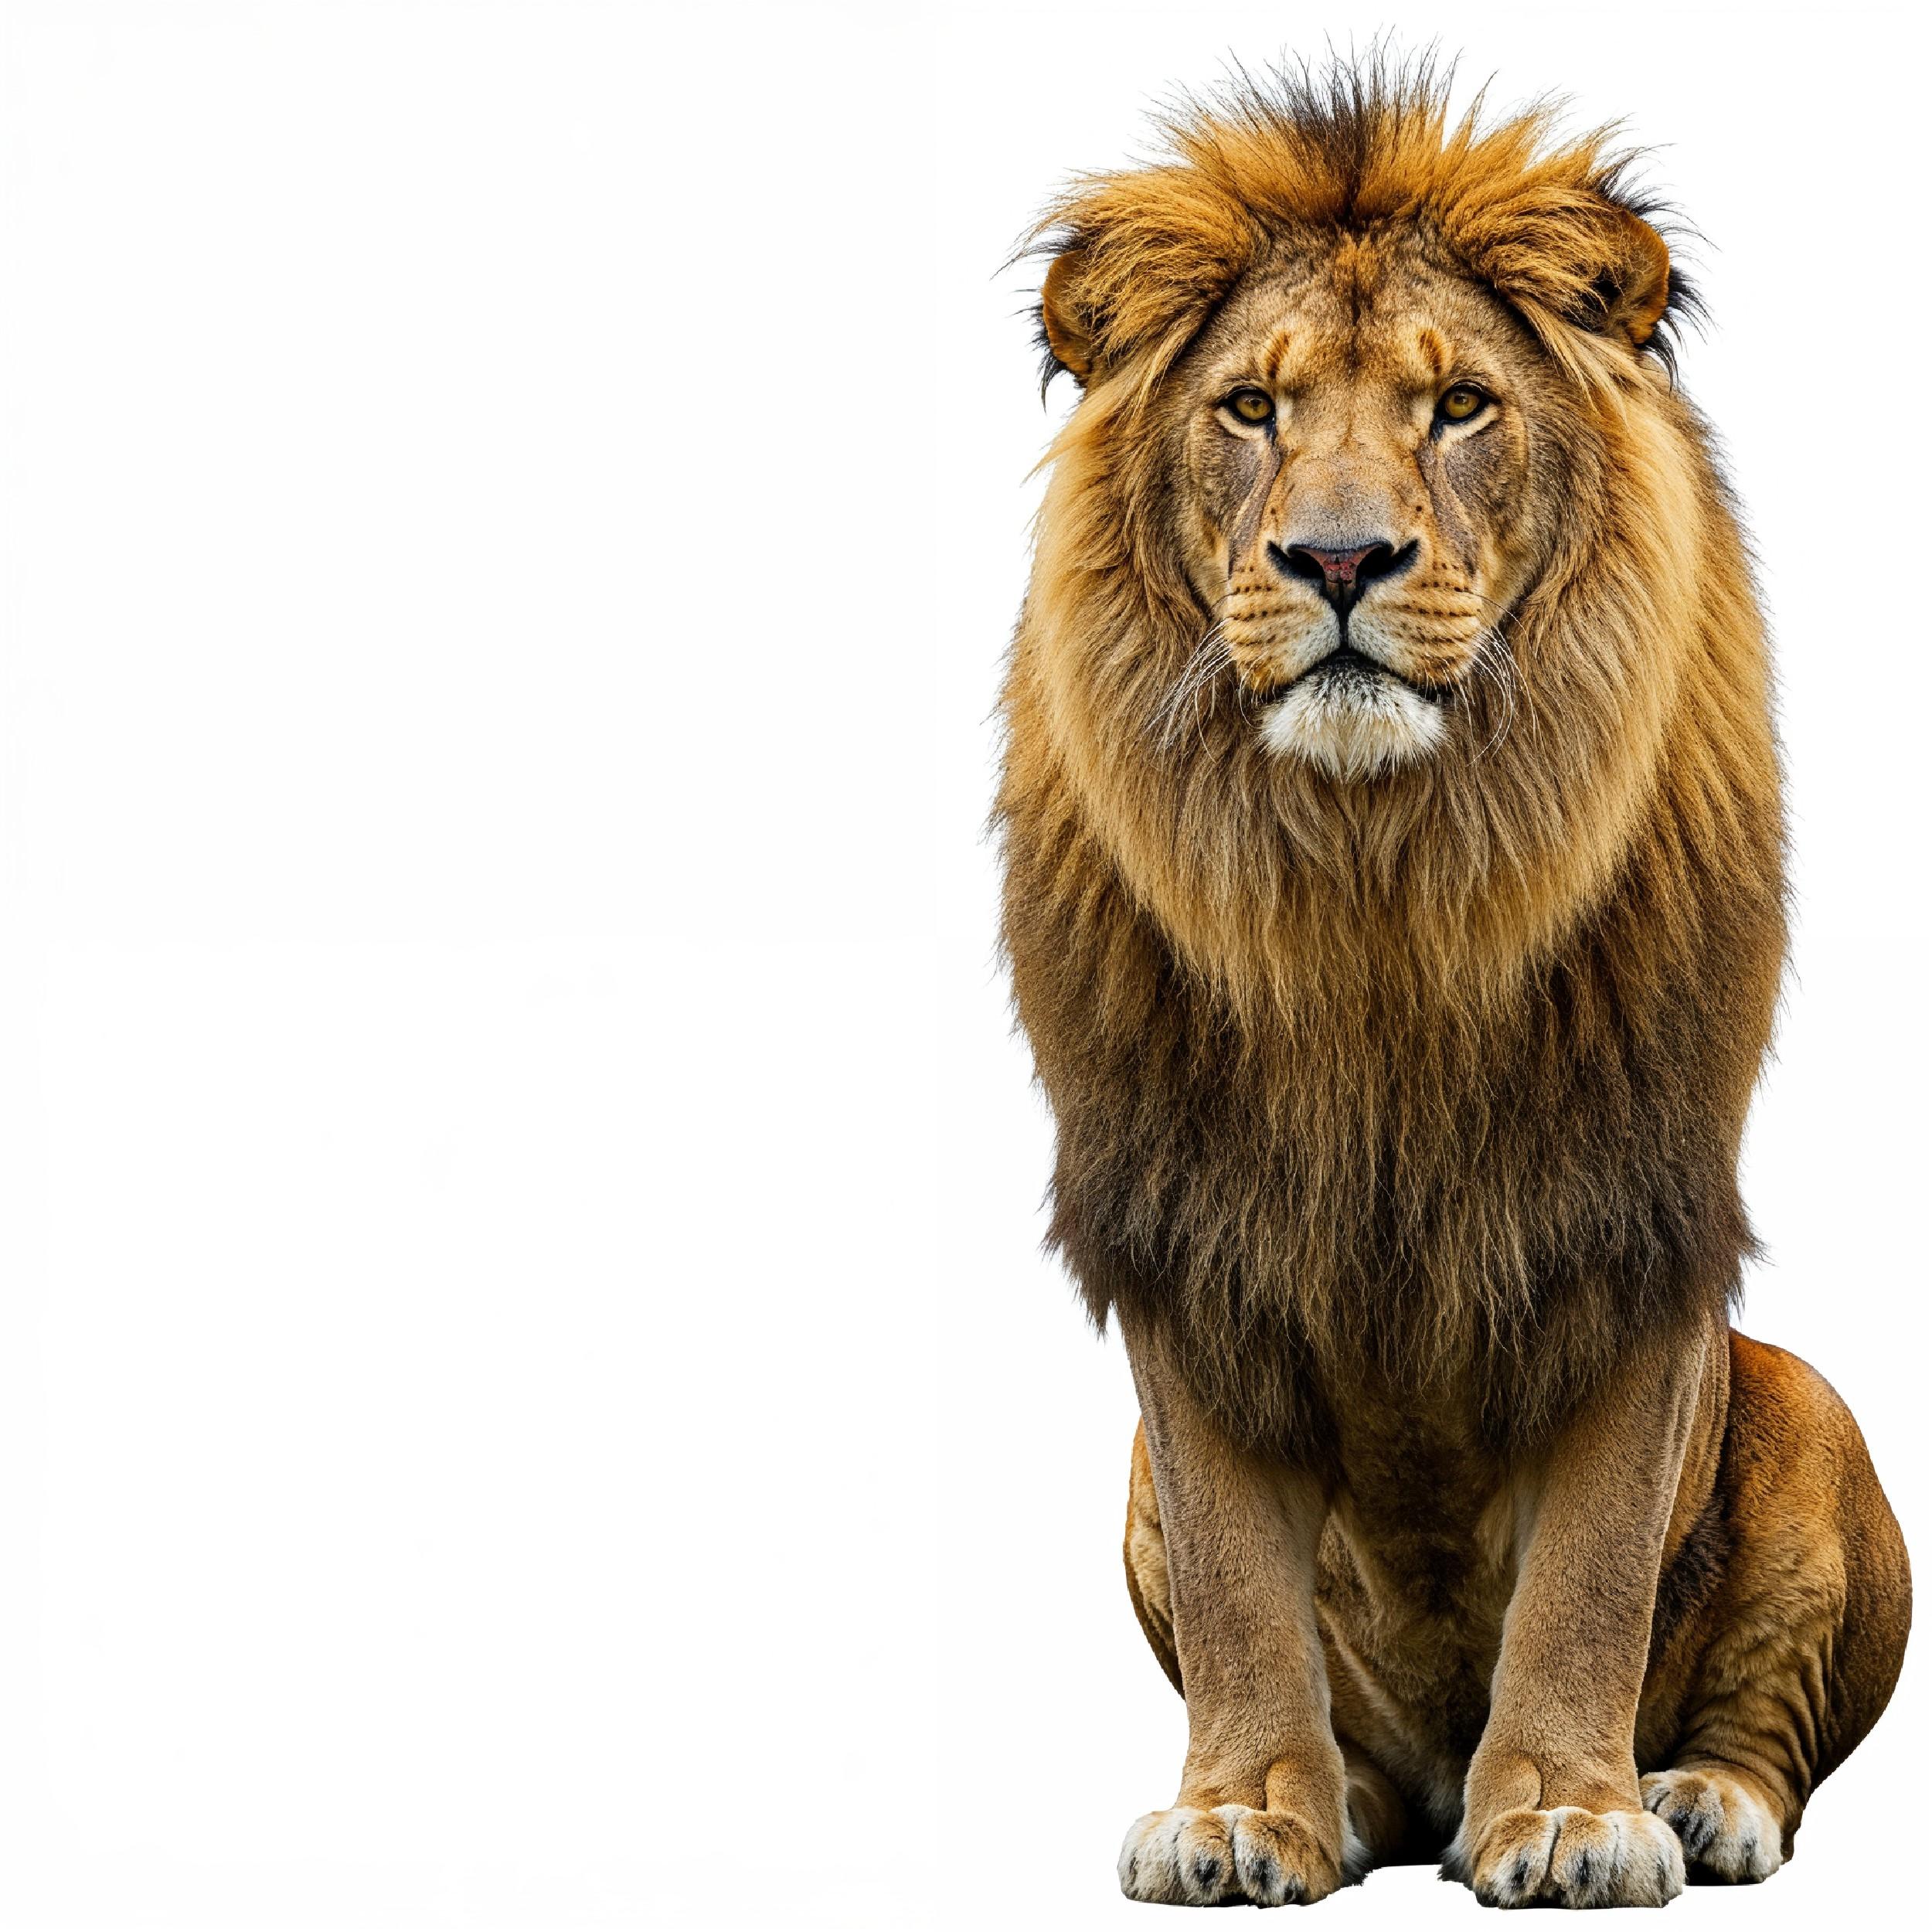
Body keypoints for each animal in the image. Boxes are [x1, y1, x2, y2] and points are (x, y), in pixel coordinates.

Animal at [997, 61, 1910, 1910]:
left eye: (1462, 407)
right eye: (1253, 408)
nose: (1340, 559)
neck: (1377, 888)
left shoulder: (1631, 1214)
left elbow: (1588, 1573)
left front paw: (1569, 1811)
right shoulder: (1186, 1235)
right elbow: (1236, 1581)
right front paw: (1240, 1811)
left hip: (1810, 1403)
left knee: (1765, 1720)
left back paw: (1699, 1796)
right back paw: (1349, 1795)